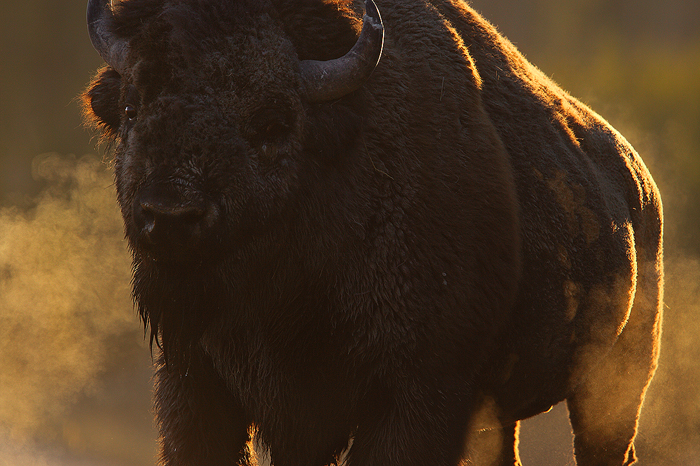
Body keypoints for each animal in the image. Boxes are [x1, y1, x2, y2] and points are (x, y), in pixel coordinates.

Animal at [82, 0, 664, 465]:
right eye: (132, 107)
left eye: (271, 122)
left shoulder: (417, 394)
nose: (169, 216)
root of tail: (641, 190)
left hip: (617, 385)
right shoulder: (196, 382)